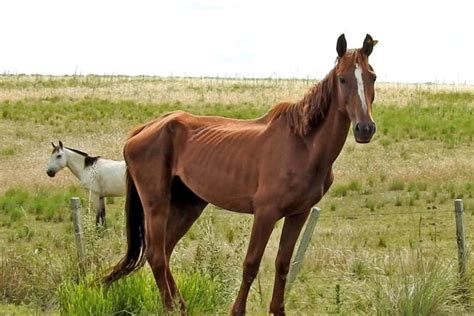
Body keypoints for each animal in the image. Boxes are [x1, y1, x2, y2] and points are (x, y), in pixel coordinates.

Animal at [103, 33, 378, 314]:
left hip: (188, 204)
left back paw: (181, 306)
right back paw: (170, 308)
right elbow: (251, 264)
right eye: (342, 78)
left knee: (165, 251)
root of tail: (146, 128)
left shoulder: (298, 214)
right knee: (156, 255)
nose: (365, 128)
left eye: (372, 77)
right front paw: (237, 310)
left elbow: (283, 264)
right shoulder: (266, 213)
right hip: (156, 203)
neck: (303, 144)